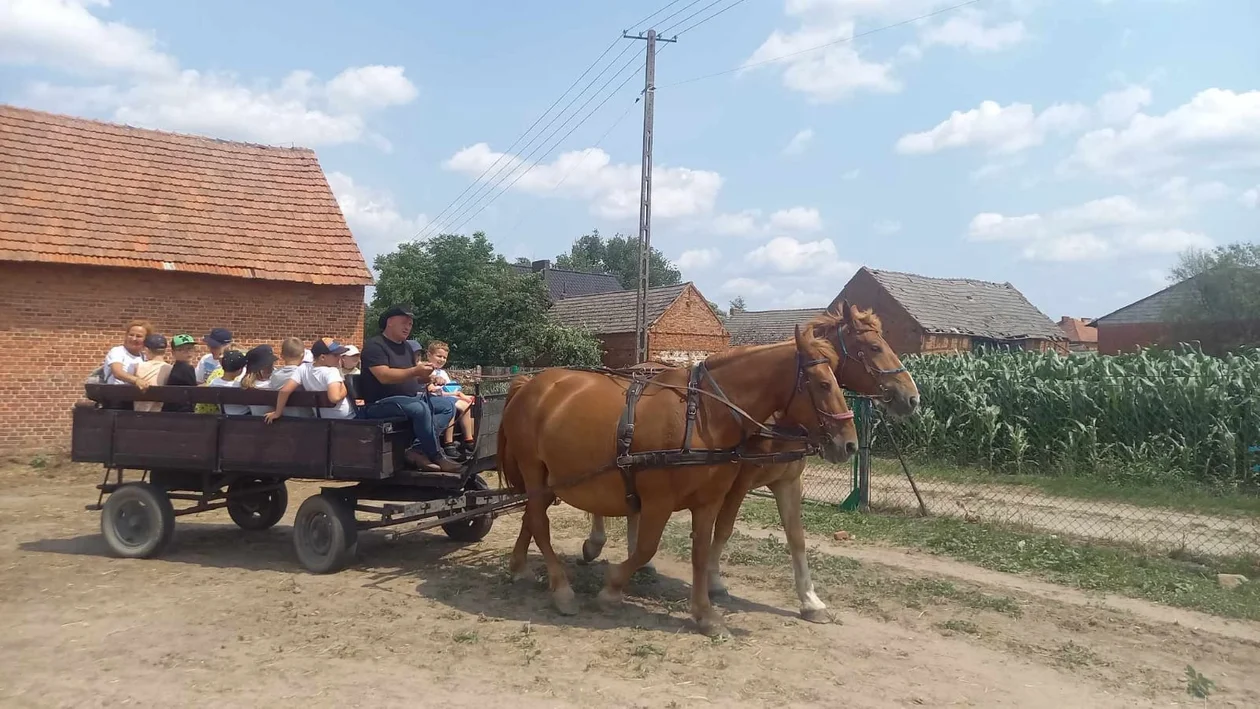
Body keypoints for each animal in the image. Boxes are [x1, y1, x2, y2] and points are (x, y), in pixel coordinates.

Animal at [496, 318, 861, 634]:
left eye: (837, 380)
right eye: (823, 384)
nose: (850, 444)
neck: (702, 416)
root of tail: (530, 384)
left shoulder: (709, 500)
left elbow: (700, 551)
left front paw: (705, 615)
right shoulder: (659, 500)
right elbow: (646, 548)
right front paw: (612, 589)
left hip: (550, 479)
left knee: (531, 516)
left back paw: (520, 567)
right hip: (534, 470)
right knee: (539, 522)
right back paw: (561, 590)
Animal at [579, 298, 917, 622]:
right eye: (874, 347)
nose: (912, 398)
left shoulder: (787, 481)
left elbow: (796, 537)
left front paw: (811, 601)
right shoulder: (738, 482)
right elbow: (724, 529)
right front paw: (715, 583)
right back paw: (596, 543)